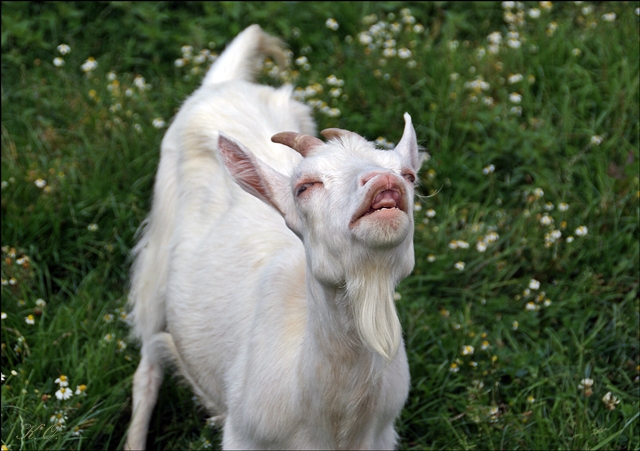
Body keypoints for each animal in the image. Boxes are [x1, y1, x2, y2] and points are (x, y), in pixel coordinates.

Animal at [125, 25, 424, 451]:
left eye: (410, 175)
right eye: (305, 186)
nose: (385, 183)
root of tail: (223, 83)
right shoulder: (245, 437)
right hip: (157, 255)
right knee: (148, 361)